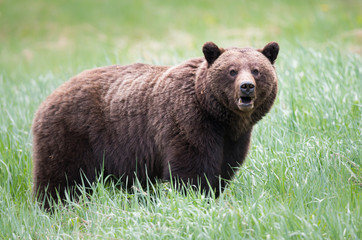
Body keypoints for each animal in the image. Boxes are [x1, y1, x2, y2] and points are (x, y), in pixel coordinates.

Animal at [31, 40, 280, 207]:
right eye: (232, 71)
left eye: (257, 70)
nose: (246, 87)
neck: (219, 117)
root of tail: (47, 98)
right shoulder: (188, 122)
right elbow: (191, 169)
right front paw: (194, 197)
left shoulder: (233, 138)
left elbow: (224, 167)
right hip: (72, 133)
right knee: (62, 178)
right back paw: (53, 206)